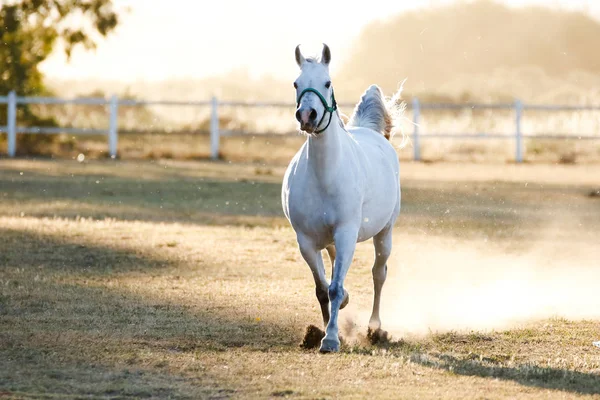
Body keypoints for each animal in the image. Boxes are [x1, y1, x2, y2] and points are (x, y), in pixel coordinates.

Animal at [282, 42, 404, 352]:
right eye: (296, 83)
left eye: (327, 83)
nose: (307, 116)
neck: (325, 175)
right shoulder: (306, 241)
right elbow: (323, 289)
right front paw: (325, 330)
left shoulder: (347, 233)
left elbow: (335, 288)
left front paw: (331, 338)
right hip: (330, 240)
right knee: (336, 264)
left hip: (384, 232)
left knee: (378, 273)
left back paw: (375, 327)